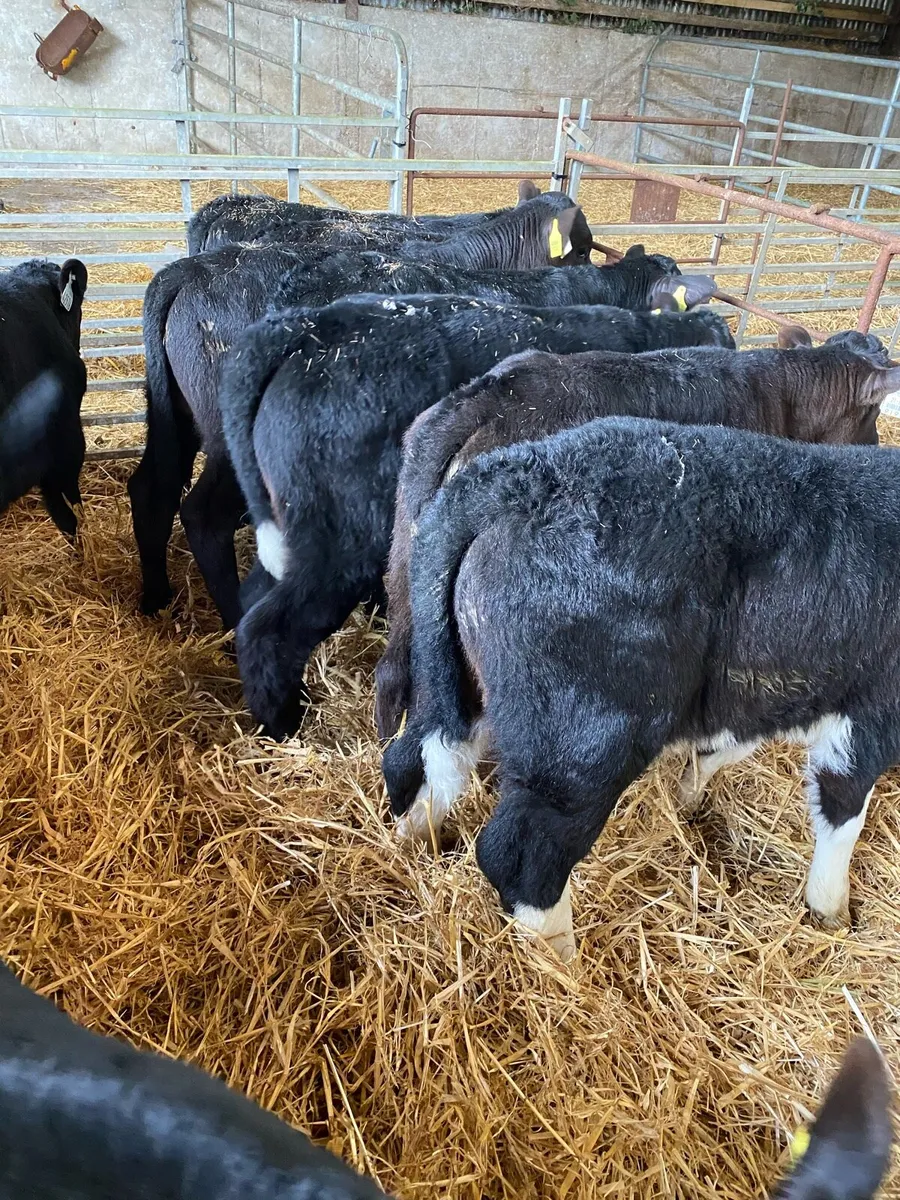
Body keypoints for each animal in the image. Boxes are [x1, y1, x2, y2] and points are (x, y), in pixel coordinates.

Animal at [375, 327, 896, 739]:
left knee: (394, 667)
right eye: (872, 413)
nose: (875, 444)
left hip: (406, 562)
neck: (780, 396)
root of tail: (488, 397)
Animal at [382, 410, 900, 959]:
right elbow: (842, 812)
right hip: (583, 739)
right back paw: (563, 962)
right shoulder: (871, 715)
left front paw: (689, 796)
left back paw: (412, 843)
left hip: (458, 681)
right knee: (521, 852)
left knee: (419, 760)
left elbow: (724, 747)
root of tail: (526, 472)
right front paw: (832, 912)